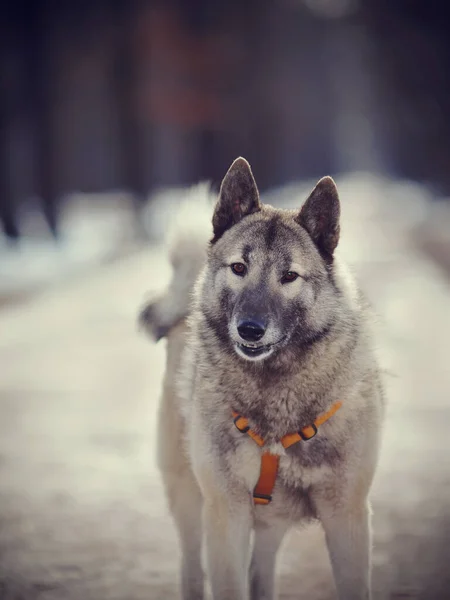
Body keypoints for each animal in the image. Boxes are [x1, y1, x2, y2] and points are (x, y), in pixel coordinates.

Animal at [139, 158, 384, 600]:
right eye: (239, 268)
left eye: (289, 276)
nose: (250, 329)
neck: (276, 394)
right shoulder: (226, 514)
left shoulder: (348, 515)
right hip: (189, 497)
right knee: (190, 565)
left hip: (271, 521)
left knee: (261, 570)